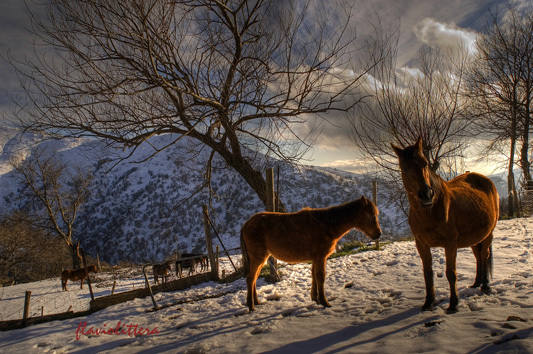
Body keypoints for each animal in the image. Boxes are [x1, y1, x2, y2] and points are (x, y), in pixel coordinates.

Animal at [239, 196, 380, 312]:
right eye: (371, 215)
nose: (378, 234)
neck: (326, 225)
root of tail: (246, 223)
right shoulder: (321, 257)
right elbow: (320, 277)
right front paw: (324, 302)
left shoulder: (315, 259)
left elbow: (313, 276)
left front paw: (316, 298)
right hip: (258, 257)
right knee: (250, 278)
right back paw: (251, 306)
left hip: (261, 258)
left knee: (254, 278)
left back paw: (257, 302)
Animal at [390, 138, 498, 312]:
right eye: (405, 168)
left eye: (425, 164)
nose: (426, 195)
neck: (432, 210)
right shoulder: (421, 244)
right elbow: (427, 273)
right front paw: (429, 302)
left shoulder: (450, 243)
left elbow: (451, 272)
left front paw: (454, 304)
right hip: (474, 237)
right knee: (478, 256)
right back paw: (476, 283)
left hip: (489, 233)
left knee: (484, 255)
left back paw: (485, 286)